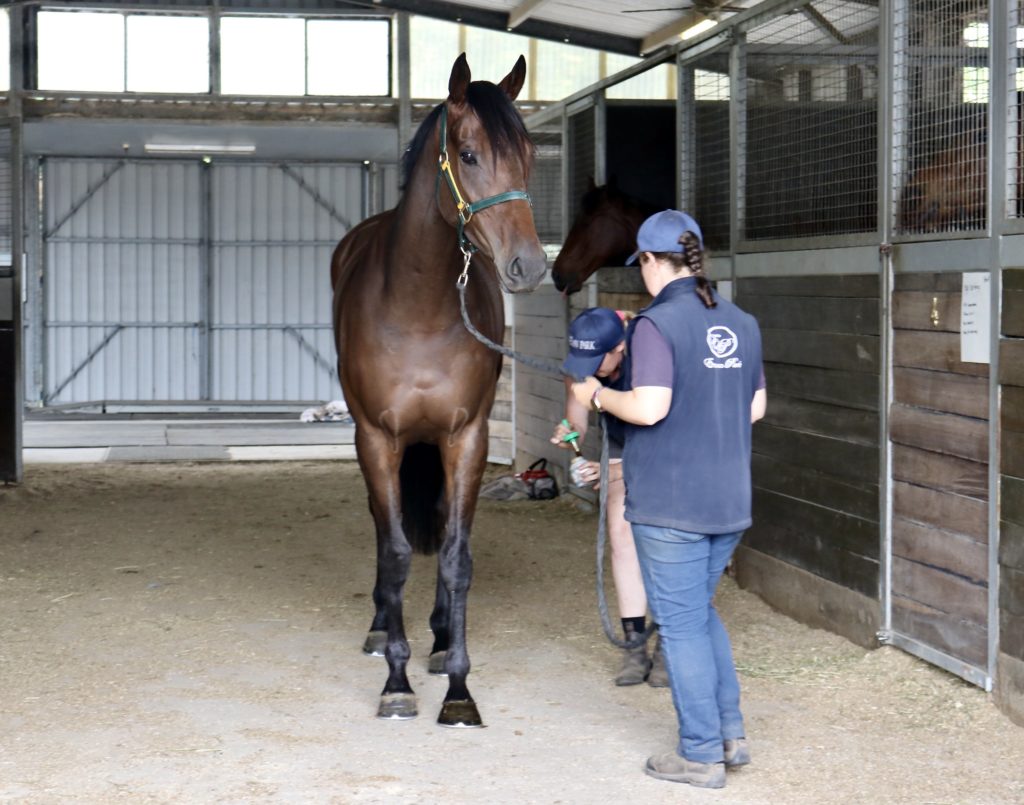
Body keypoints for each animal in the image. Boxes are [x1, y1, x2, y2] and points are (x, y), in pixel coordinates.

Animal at [330, 54, 547, 728]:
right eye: (470, 155)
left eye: (529, 155)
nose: (530, 266)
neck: (418, 310)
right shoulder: (378, 438)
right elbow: (398, 549)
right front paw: (397, 682)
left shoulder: (466, 439)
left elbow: (456, 557)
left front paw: (457, 685)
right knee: (384, 529)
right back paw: (382, 629)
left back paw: (440, 635)